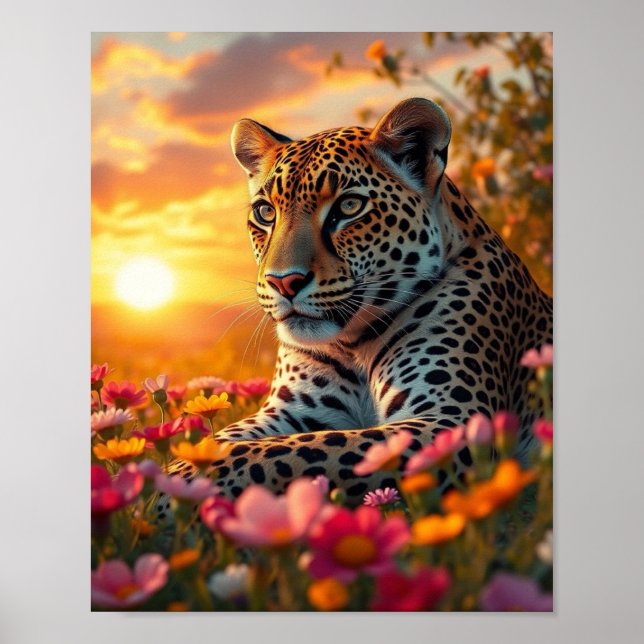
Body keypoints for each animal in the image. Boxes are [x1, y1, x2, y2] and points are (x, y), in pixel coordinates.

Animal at [161, 97, 552, 514]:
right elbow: (226, 439)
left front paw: (170, 490)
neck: (353, 344)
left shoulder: (449, 418)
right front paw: (171, 471)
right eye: (266, 213)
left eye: (348, 207)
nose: (283, 282)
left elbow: (290, 451)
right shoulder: (289, 410)